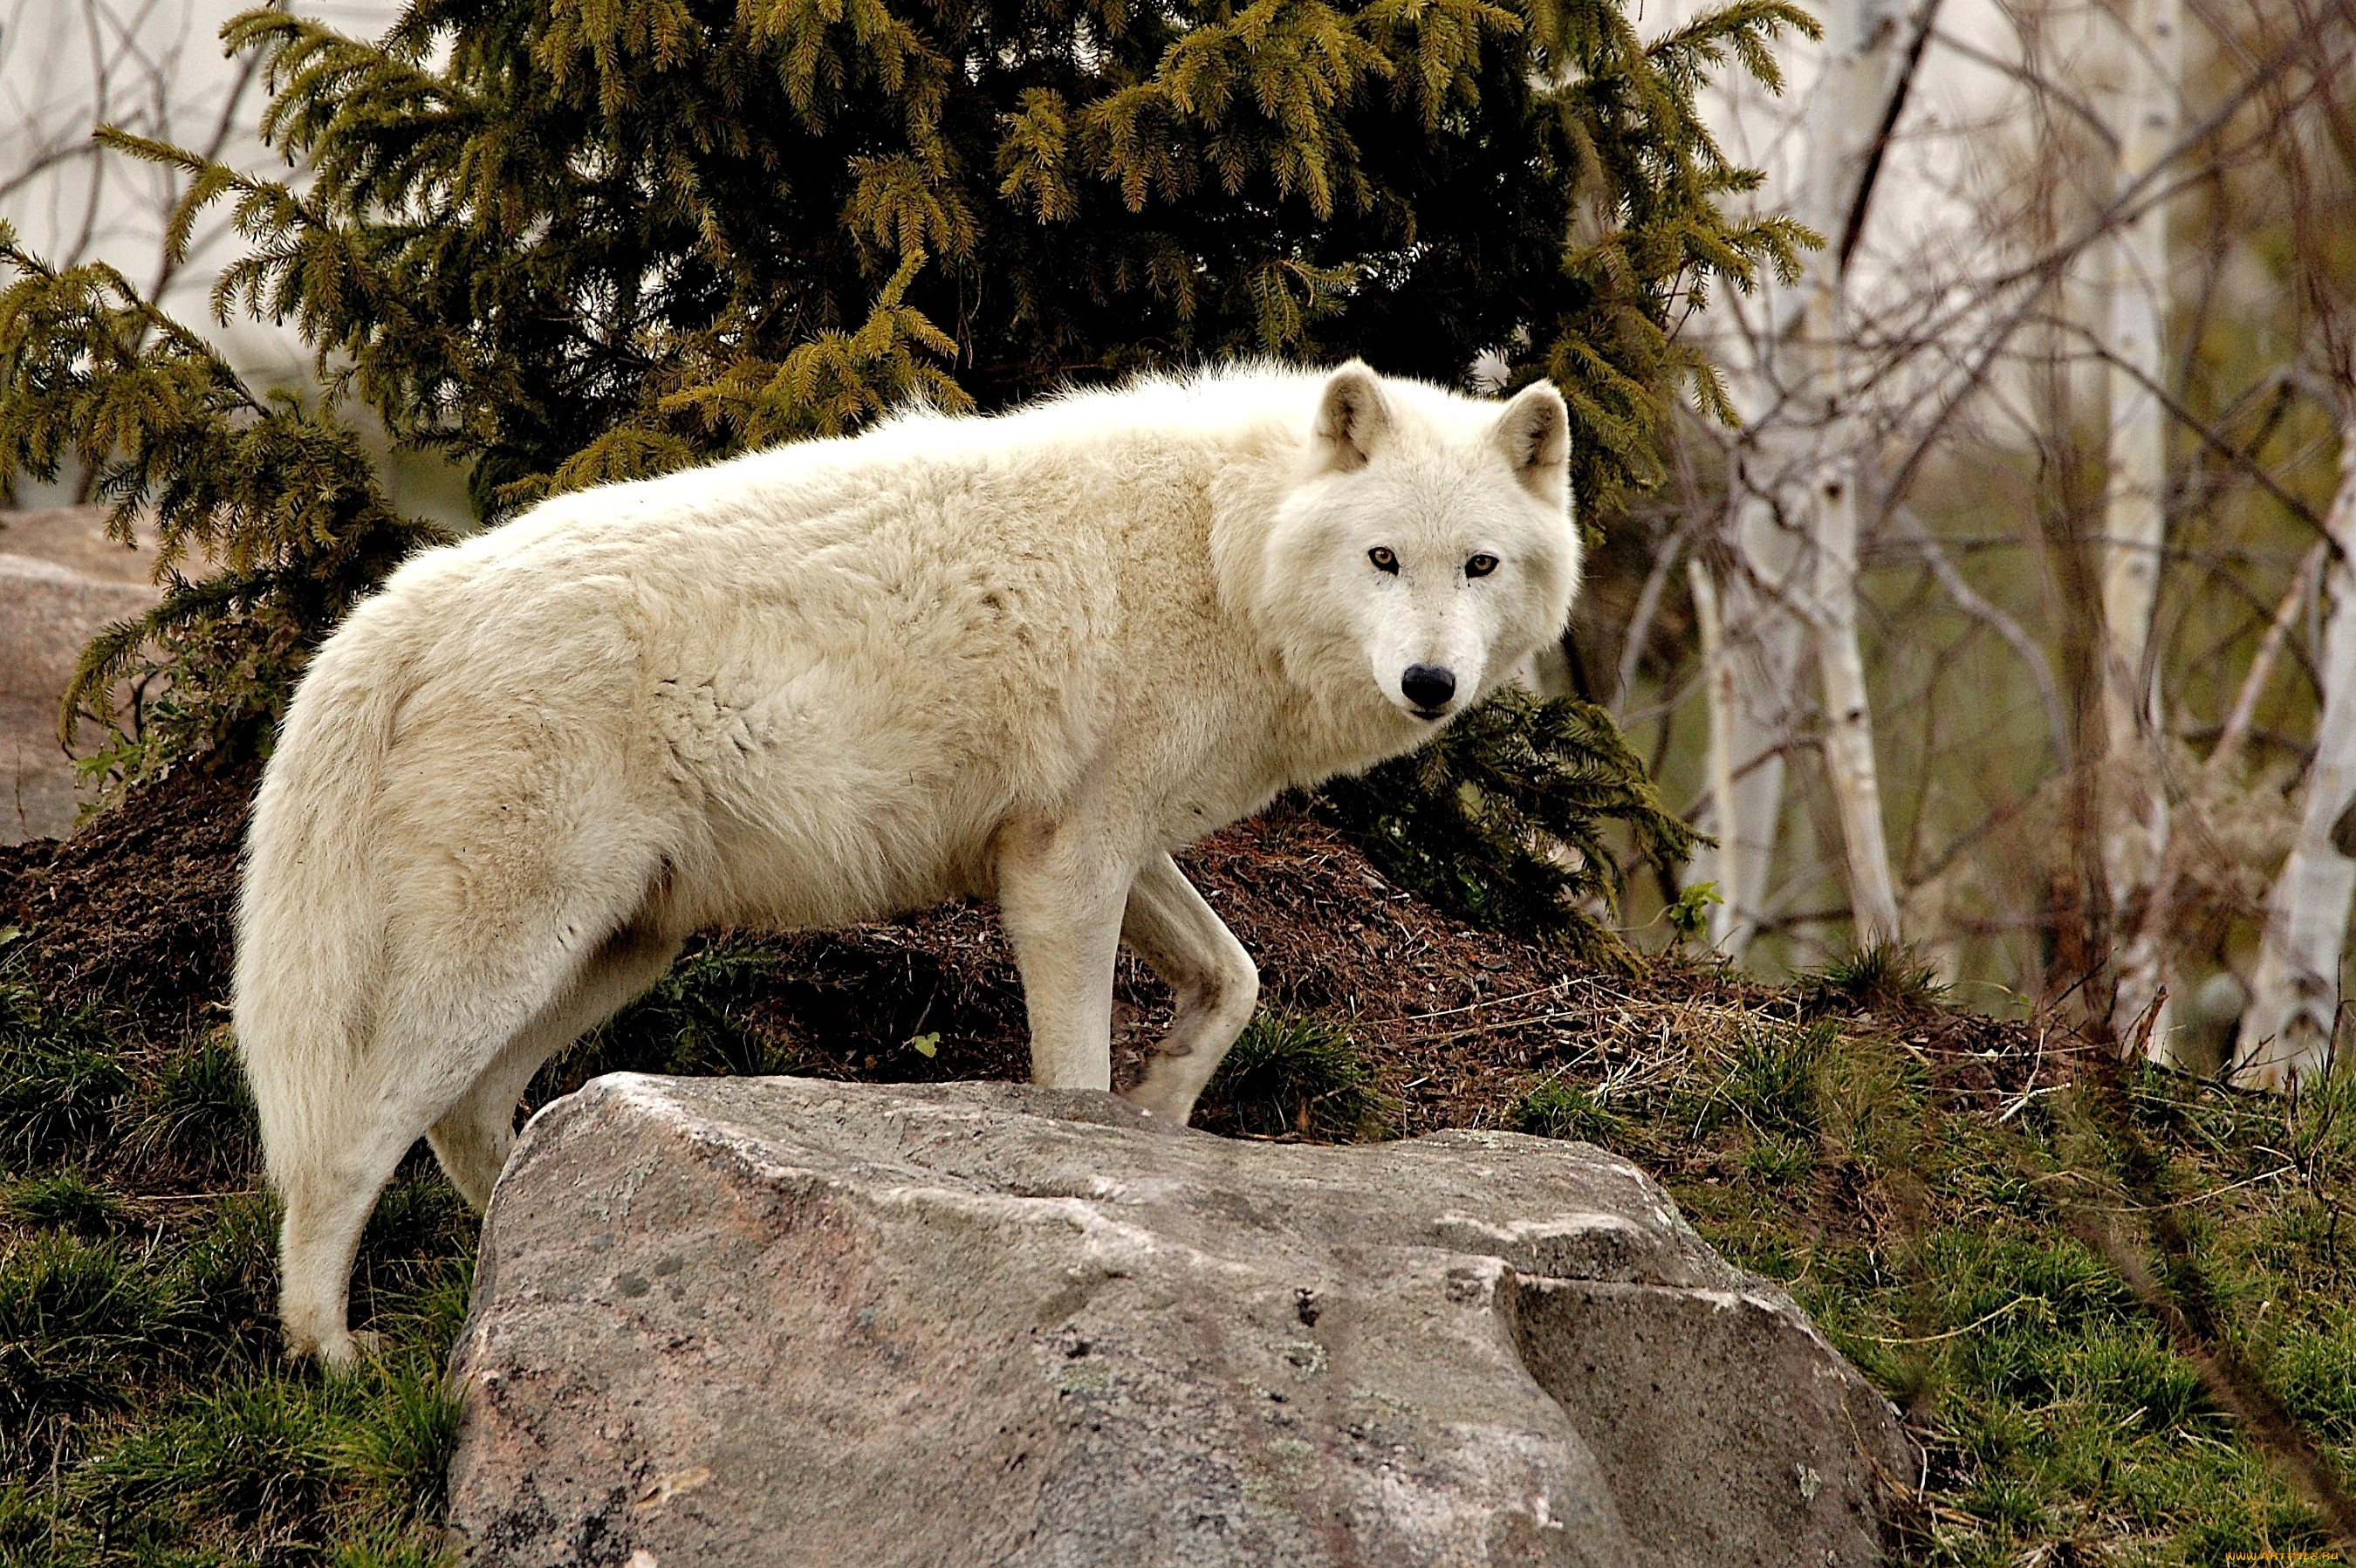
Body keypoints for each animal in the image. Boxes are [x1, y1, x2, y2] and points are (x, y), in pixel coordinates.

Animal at [234, 353, 1583, 1356]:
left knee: (469, 1119)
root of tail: (399, 602)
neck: (1220, 549)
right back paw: (330, 1357)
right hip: (511, 957)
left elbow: (1236, 979)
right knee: (343, 1149)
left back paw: (529, 1247)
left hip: (615, 951)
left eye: (1478, 565)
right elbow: (1073, 1077)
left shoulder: (1097, 843)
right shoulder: (1065, 869)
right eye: (1383, 559)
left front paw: (1163, 1106)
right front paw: (1111, 1169)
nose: (1430, 683)